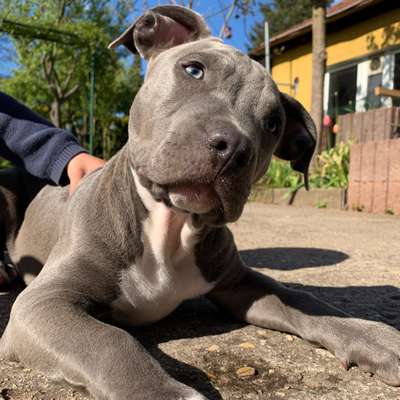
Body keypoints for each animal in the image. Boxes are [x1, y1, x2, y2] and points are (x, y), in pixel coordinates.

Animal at [0, 6, 400, 400]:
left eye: (273, 124)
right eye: (193, 69)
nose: (234, 147)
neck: (170, 226)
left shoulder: (238, 281)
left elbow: (301, 298)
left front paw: (375, 337)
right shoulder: (44, 302)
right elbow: (110, 342)